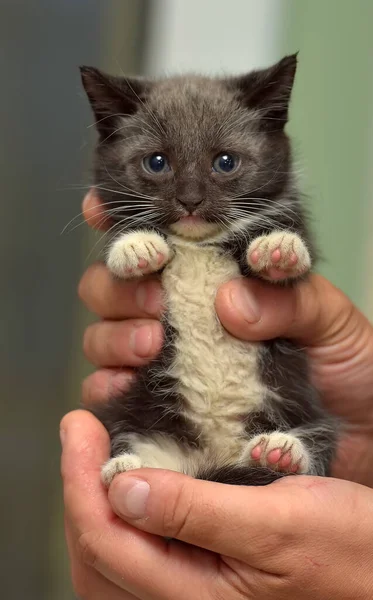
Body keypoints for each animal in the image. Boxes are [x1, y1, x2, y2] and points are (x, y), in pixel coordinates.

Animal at [80, 55, 336, 488]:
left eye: (225, 162)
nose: (190, 200)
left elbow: (295, 254)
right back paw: (125, 466)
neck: (197, 245)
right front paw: (135, 246)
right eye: (157, 162)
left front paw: (279, 248)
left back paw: (281, 452)